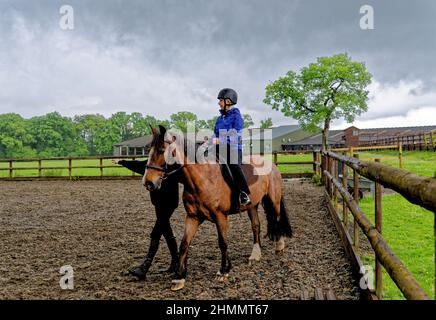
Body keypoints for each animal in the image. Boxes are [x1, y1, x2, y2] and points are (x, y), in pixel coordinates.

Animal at [144, 126, 292, 292]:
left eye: (162, 150)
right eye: (149, 150)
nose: (148, 182)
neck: (202, 179)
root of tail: (272, 165)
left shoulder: (220, 216)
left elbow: (222, 242)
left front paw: (223, 271)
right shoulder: (193, 217)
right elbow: (184, 244)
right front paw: (179, 278)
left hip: (274, 200)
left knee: (277, 219)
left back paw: (279, 247)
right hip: (252, 205)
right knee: (256, 226)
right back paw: (255, 255)